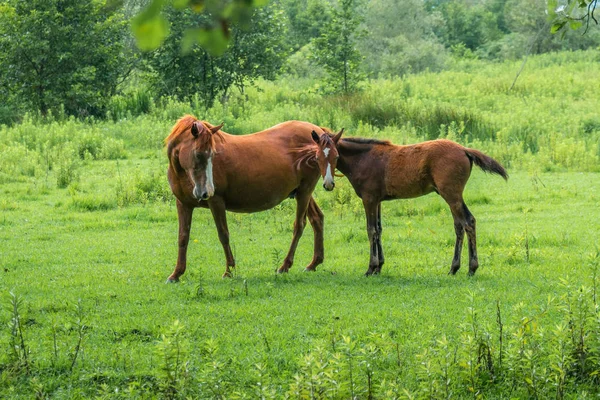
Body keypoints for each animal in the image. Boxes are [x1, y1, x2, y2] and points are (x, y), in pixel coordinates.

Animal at [164, 115, 332, 282]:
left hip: (305, 191)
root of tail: (318, 131)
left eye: (212, 154)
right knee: (317, 219)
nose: (207, 192)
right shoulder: (183, 204)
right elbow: (183, 237)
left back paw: (284, 266)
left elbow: (223, 234)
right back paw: (314, 263)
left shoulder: (216, 202)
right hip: (302, 193)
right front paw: (176, 274)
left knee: (299, 225)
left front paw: (229, 271)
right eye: (198, 154)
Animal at [312, 131, 508, 276]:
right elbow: (379, 229)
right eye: (317, 157)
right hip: (452, 196)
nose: (328, 184)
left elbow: (371, 230)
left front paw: (371, 268)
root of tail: (464, 149)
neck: (364, 159)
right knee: (460, 225)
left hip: (452, 195)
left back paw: (471, 268)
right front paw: (379, 266)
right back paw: (454, 268)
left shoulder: (369, 199)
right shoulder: (378, 201)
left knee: (468, 222)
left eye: (336, 156)